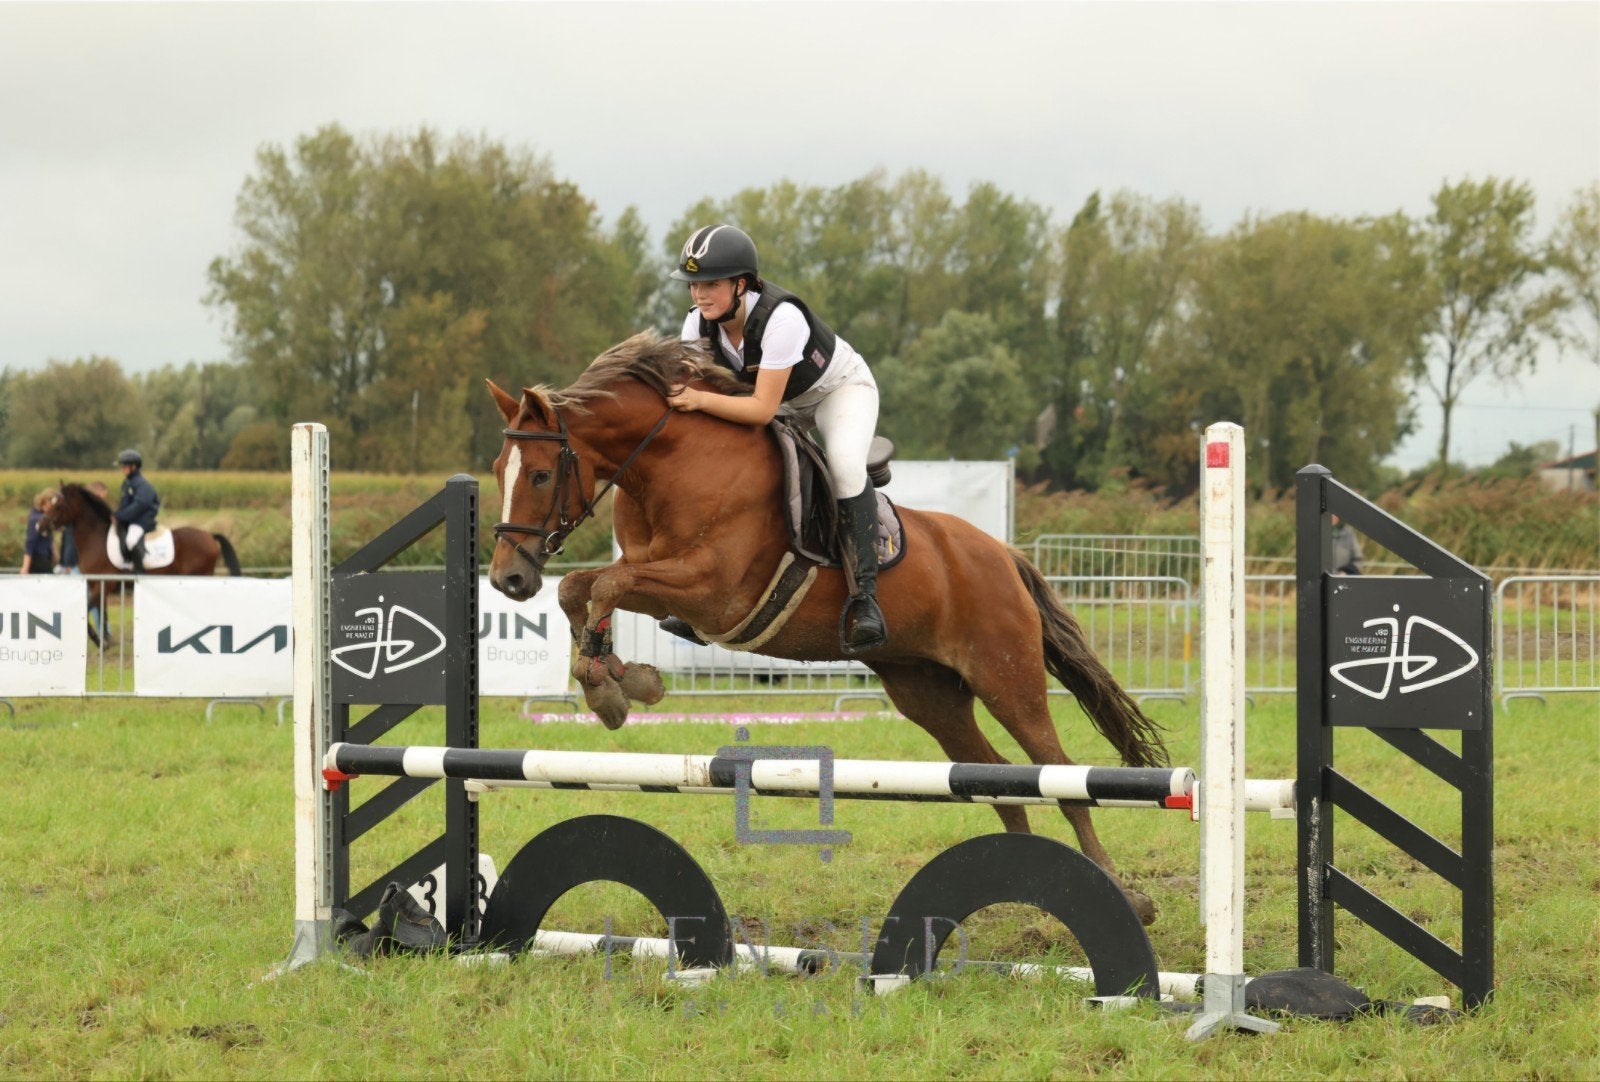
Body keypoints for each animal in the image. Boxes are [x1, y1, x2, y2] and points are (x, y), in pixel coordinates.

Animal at [487, 331, 1169, 923]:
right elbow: (583, 588)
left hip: (1008, 678)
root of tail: (1003, 555)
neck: (672, 460)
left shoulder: (713, 590)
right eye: (497, 471)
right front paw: (615, 679)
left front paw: (614, 688)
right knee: (995, 779)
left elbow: (604, 585)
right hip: (928, 693)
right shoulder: (662, 583)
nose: (508, 579)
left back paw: (1126, 898)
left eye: (542, 474)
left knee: (1060, 775)